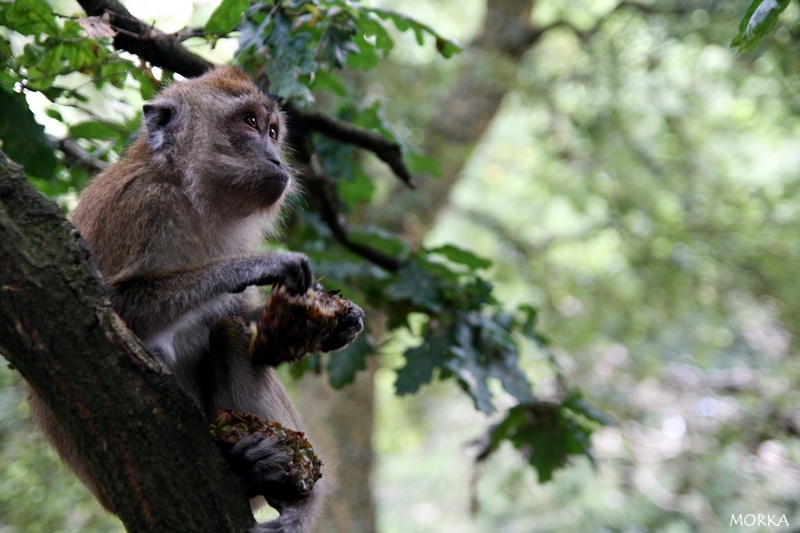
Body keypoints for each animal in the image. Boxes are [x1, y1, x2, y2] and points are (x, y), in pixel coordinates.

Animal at [24, 66, 362, 532]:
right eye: (250, 123)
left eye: (273, 131)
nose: (277, 159)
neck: (187, 194)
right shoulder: (143, 206)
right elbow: (109, 306)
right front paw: (256, 265)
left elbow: (244, 320)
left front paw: (339, 323)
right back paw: (246, 466)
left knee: (229, 333)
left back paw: (284, 488)